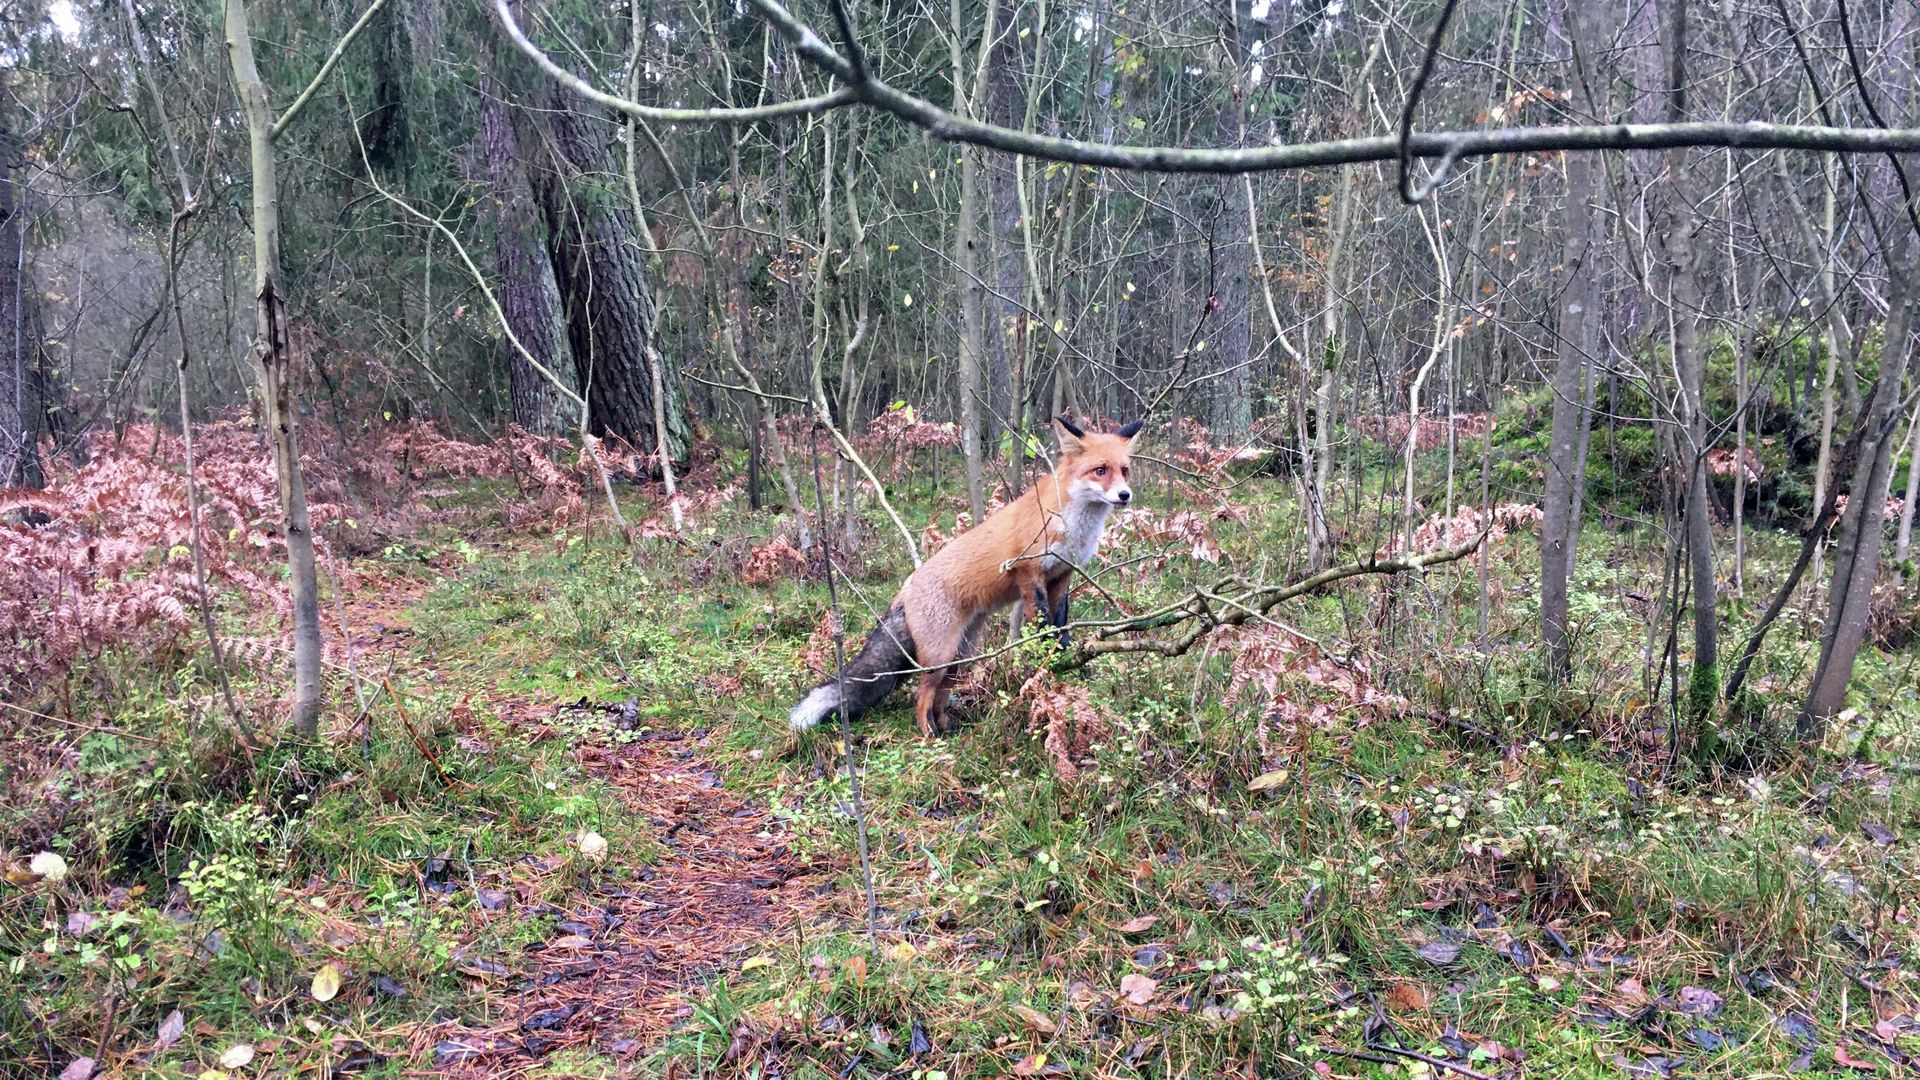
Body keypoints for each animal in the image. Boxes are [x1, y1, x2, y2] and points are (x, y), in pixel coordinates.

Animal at [789, 415, 1142, 737]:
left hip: (963, 656)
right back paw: (929, 737)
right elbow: (1042, 621)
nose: (1125, 495)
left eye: (1124, 470)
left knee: (940, 696)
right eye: (1100, 470)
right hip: (940, 656)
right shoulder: (1028, 570)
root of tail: (905, 587)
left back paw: (947, 727)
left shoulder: (1062, 573)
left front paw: (1063, 650)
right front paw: (1047, 652)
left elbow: (1061, 620)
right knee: (921, 696)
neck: (1073, 525)